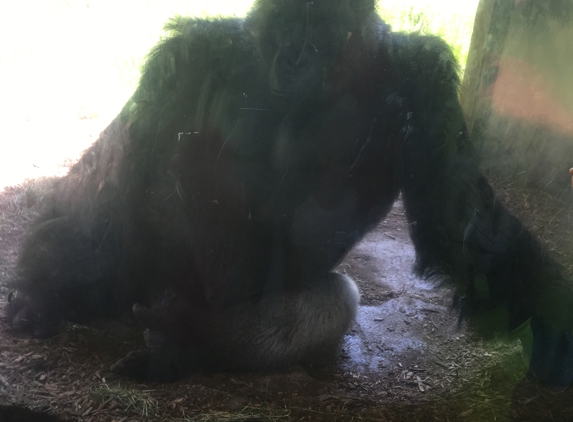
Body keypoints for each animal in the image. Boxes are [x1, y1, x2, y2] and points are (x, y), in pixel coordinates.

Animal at [4, 0, 572, 382]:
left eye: (315, 36)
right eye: (285, 34)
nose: (293, 58)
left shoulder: (423, 76)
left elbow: (459, 223)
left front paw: (553, 316)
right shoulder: (186, 57)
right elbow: (120, 168)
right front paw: (41, 279)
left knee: (334, 300)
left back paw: (194, 342)